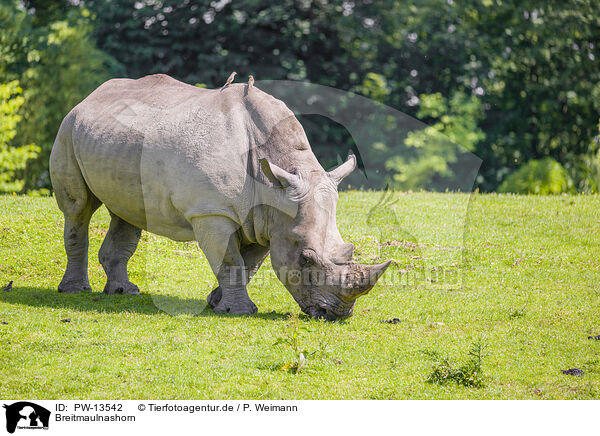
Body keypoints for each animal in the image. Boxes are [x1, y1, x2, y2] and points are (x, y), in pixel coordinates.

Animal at [50, 74, 390, 320]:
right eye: (305, 259)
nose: (337, 314)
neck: (273, 182)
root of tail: (91, 96)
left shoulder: (267, 219)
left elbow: (248, 264)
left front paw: (216, 302)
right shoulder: (212, 211)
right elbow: (230, 260)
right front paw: (238, 311)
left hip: (115, 139)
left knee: (127, 213)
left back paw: (123, 292)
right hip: (67, 128)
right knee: (78, 208)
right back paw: (75, 291)